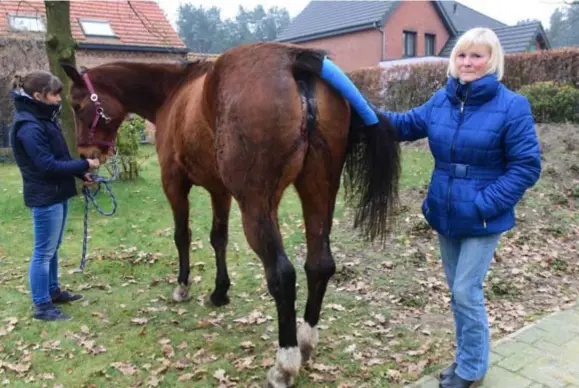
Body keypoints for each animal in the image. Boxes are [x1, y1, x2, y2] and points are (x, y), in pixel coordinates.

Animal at [61, 41, 402, 386]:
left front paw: (183, 286)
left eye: (76, 104)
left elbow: (182, 236)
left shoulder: (174, 183)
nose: (88, 157)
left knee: (282, 274)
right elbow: (218, 239)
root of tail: (293, 60)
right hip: (318, 193)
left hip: (257, 206)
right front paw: (220, 291)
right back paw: (305, 343)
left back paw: (285, 363)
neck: (175, 92)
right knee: (319, 265)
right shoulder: (219, 191)